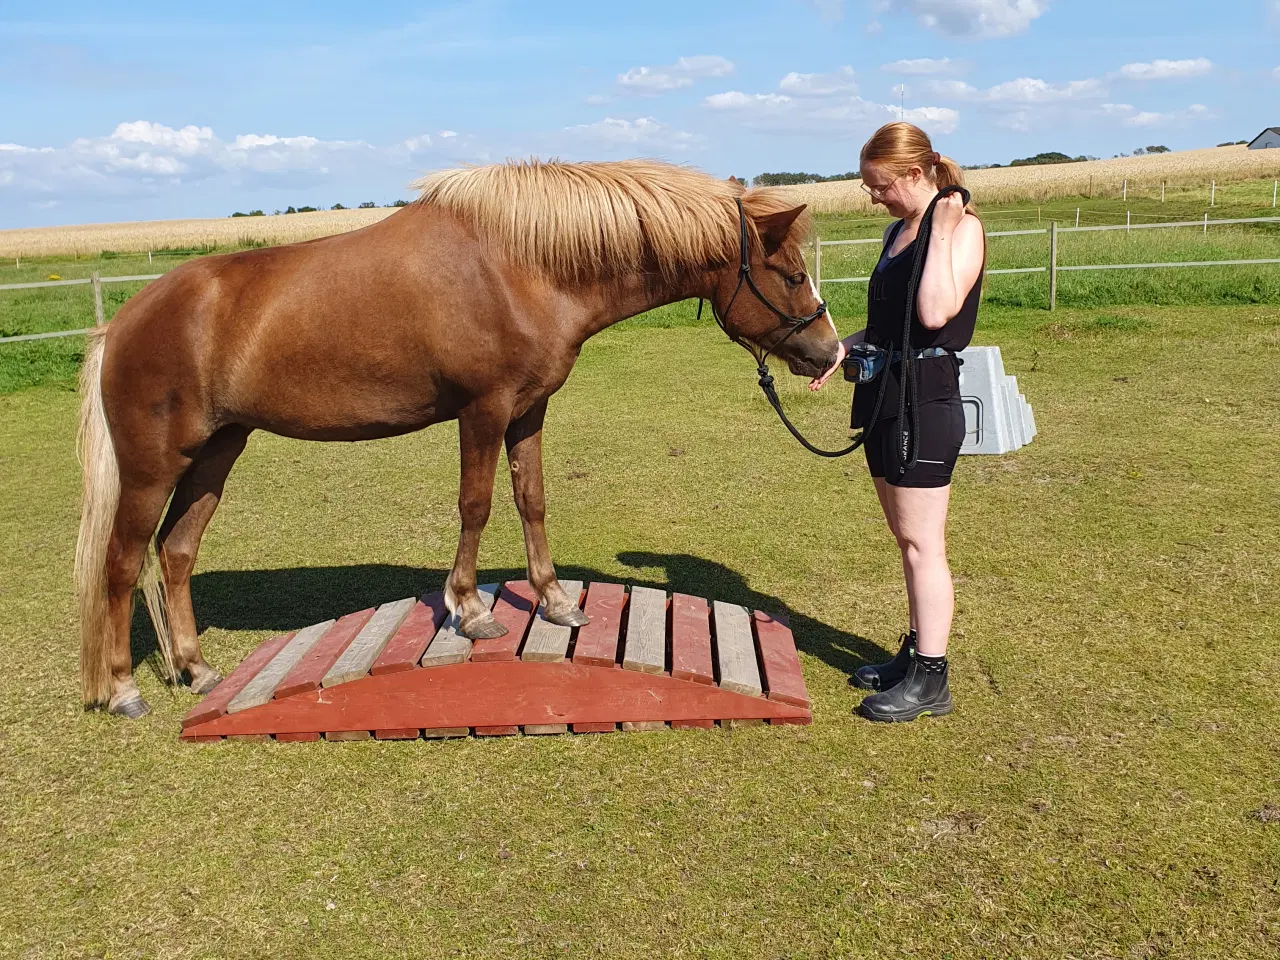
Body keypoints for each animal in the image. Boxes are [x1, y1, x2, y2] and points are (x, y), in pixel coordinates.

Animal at [77, 158, 839, 716]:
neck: (520, 267)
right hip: (153, 466)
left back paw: (196, 668)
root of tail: (125, 320)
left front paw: (555, 601)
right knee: (123, 562)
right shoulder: (484, 410)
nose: (831, 353)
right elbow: (476, 504)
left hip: (217, 450)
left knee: (176, 553)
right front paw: (470, 610)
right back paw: (124, 689)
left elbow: (532, 499)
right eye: (793, 274)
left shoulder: (529, 410)